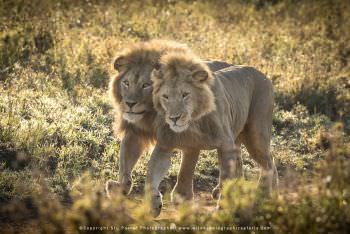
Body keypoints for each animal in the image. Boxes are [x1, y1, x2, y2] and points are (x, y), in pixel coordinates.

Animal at [106, 39, 232, 199]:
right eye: (126, 83)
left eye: (146, 85)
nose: (129, 103)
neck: (150, 115)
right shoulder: (135, 132)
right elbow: (124, 165)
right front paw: (118, 187)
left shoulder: (176, 138)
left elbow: (166, 167)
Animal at [148, 50, 278, 216]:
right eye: (165, 96)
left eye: (185, 94)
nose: (174, 118)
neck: (192, 122)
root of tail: (262, 74)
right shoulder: (169, 145)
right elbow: (154, 174)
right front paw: (155, 204)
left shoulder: (225, 144)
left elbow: (226, 178)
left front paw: (222, 209)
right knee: (248, 160)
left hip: (256, 135)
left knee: (268, 162)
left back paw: (264, 195)